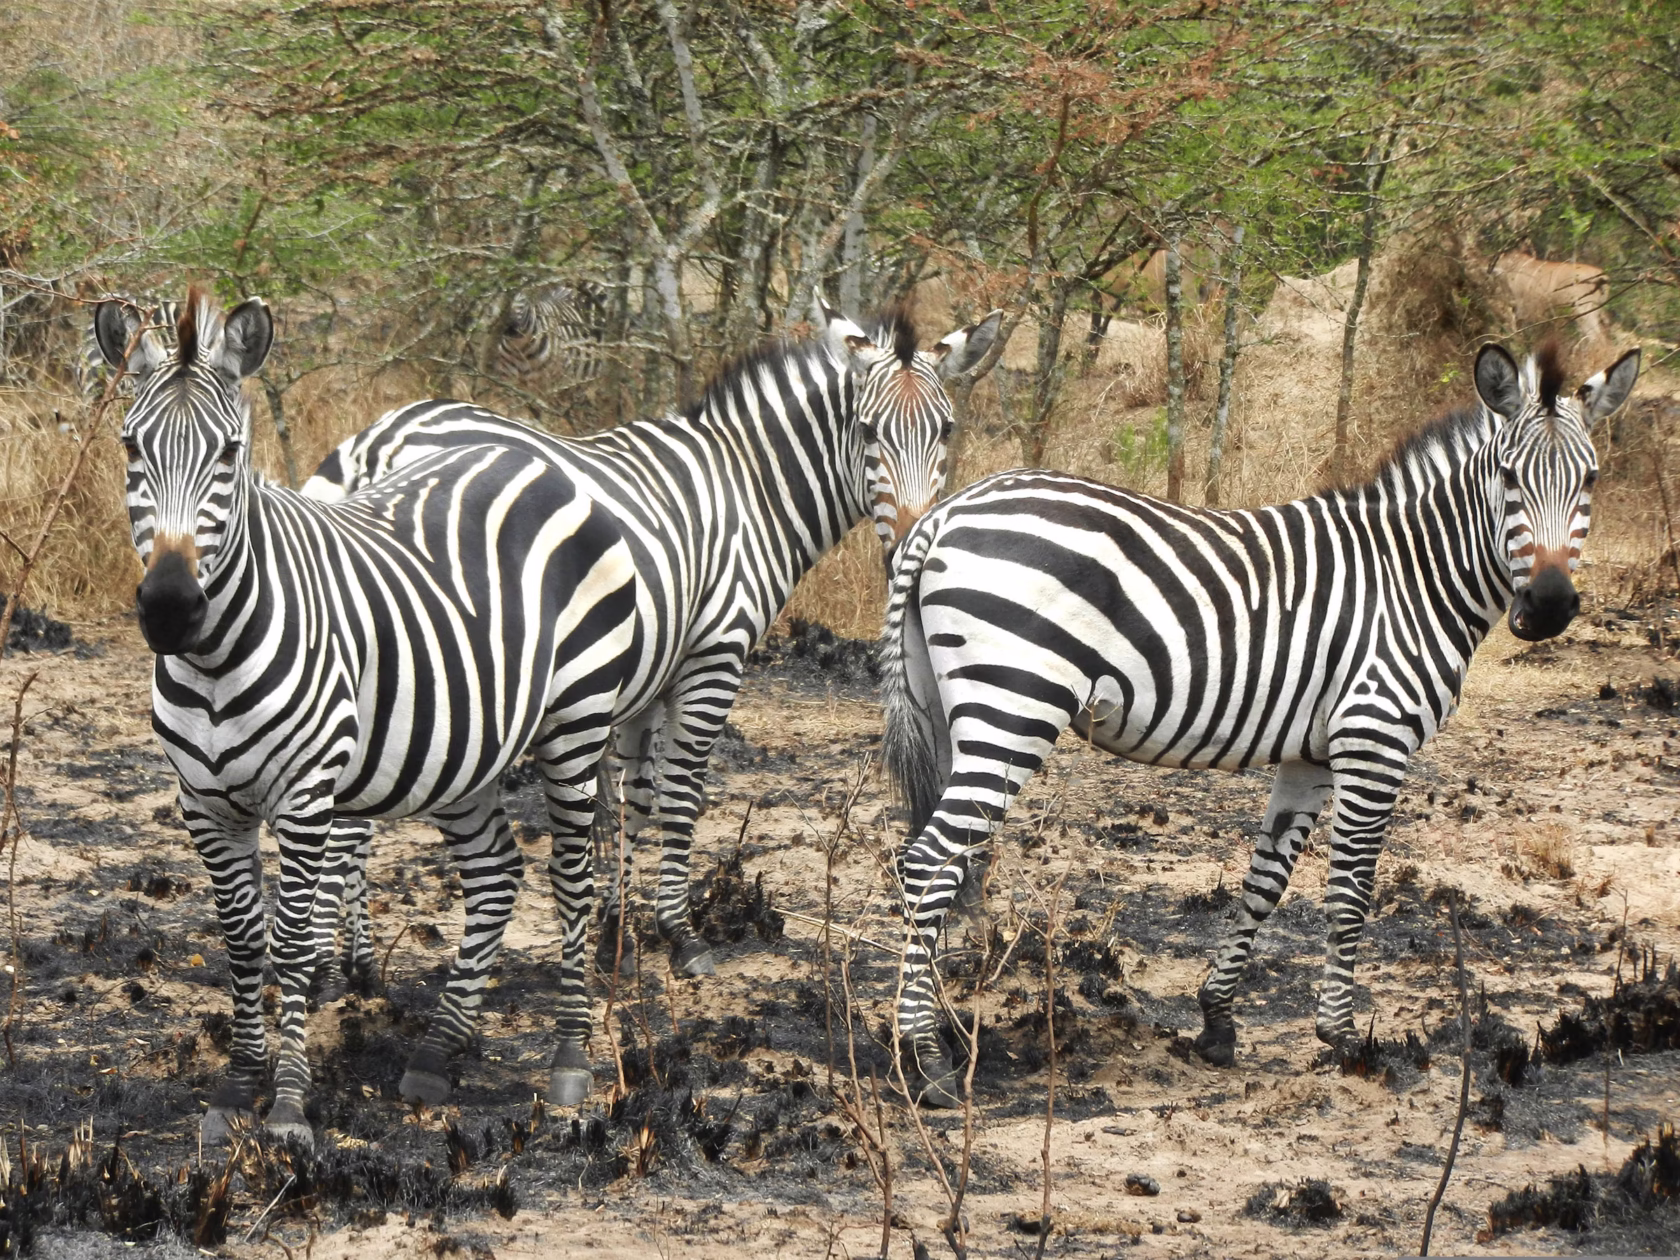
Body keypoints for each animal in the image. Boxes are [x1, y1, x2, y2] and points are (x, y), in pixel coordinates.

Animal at [94, 290, 641, 1144]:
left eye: (230, 454)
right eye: (130, 446)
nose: (172, 608)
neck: (213, 659)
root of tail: (532, 455)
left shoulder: (305, 793)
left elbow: (289, 945)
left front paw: (287, 1108)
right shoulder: (203, 804)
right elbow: (242, 944)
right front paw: (235, 1090)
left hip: (577, 720)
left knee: (572, 877)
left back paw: (570, 1063)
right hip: (466, 746)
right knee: (496, 873)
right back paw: (437, 1055)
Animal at [305, 298, 1002, 980]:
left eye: (946, 430)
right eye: (866, 431)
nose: (909, 546)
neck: (748, 488)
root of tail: (378, 441)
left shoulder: (647, 671)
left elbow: (634, 797)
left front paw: (616, 934)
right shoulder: (714, 654)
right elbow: (681, 792)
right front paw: (682, 935)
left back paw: (345, 963)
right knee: (349, 828)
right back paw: (346, 971)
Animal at [878, 340, 1640, 1106]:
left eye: (1592, 479)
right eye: (1508, 478)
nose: (1549, 606)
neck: (1414, 575)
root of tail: (943, 515)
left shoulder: (1314, 754)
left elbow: (1264, 881)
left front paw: (1217, 1022)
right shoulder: (1375, 736)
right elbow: (1349, 896)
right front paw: (1341, 1039)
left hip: (951, 709)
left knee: (936, 858)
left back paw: (941, 1032)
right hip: (1014, 705)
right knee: (927, 861)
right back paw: (927, 1059)